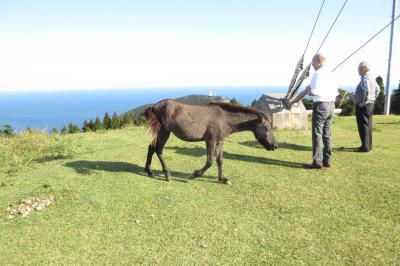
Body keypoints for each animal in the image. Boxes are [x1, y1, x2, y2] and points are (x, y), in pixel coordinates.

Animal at [145, 98, 278, 184]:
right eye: (266, 128)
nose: (275, 146)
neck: (224, 118)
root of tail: (154, 106)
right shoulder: (210, 141)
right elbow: (210, 161)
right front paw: (194, 175)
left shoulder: (220, 142)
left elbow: (220, 160)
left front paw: (223, 179)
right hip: (164, 132)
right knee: (158, 150)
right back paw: (167, 174)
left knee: (151, 148)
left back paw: (149, 171)